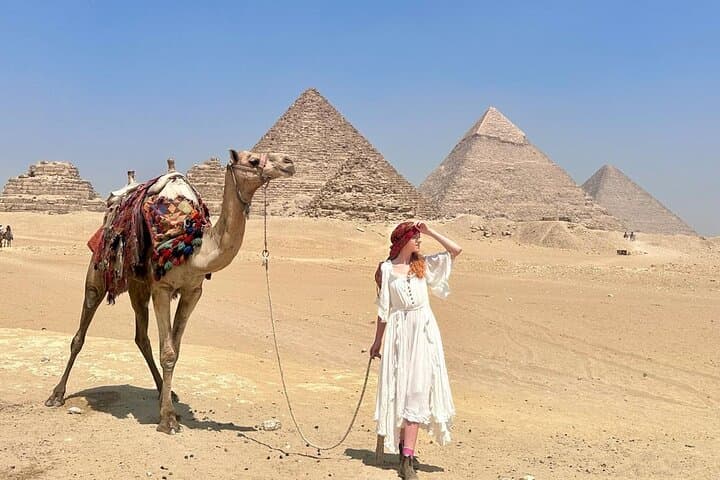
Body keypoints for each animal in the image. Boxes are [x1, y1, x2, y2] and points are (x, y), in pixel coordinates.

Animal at [45, 150, 295, 434]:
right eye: (252, 160)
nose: (289, 162)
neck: (194, 247)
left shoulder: (193, 291)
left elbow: (175, 349)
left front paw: (169, 405)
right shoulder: (162, 289)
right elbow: (168, 352)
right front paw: (167, 419)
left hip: (138, 285)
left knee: (141, 337)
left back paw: (163, 390)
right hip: (99, 272)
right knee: (80, 334)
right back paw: (56, 394)